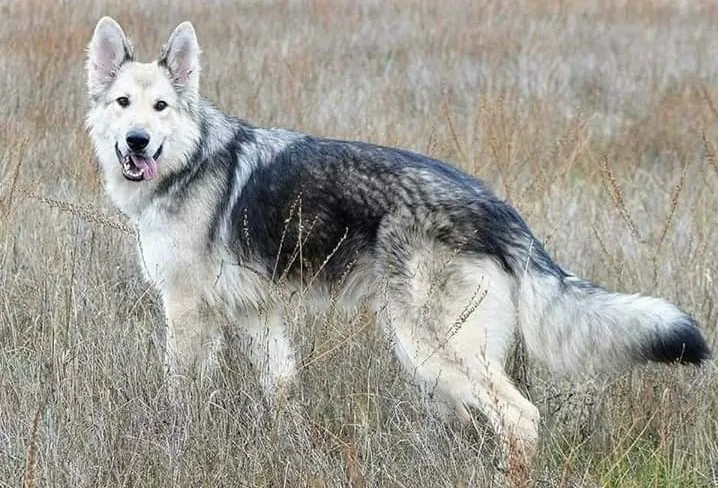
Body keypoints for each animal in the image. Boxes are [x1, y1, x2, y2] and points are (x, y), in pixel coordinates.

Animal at [86, 17, 716, 464]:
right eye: (124, 105)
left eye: (161, 107)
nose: (137, 142)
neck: (189, 162)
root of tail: (497, 208)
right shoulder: (255, 314)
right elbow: (281, 387)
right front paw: (287, 445)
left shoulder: (186, 311)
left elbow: (179, 390)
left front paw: (175, 439)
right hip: (438, 357)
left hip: (431, 347)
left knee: (521, 418)